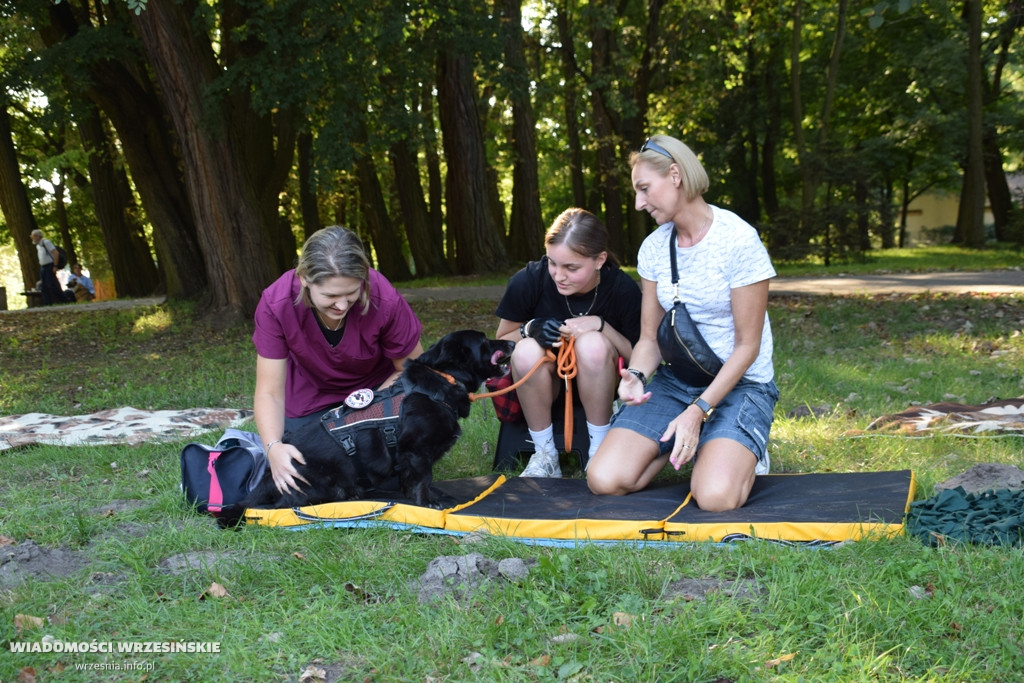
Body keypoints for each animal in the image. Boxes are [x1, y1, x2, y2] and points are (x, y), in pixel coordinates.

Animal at [219, 331, 516, 528]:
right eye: (485, 341)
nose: (513, 342)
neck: (442, 382)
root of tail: (269, 474)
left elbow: (412, 482)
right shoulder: (416, 452)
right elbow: (422, 481)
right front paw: (427, 503)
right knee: (284, 505)